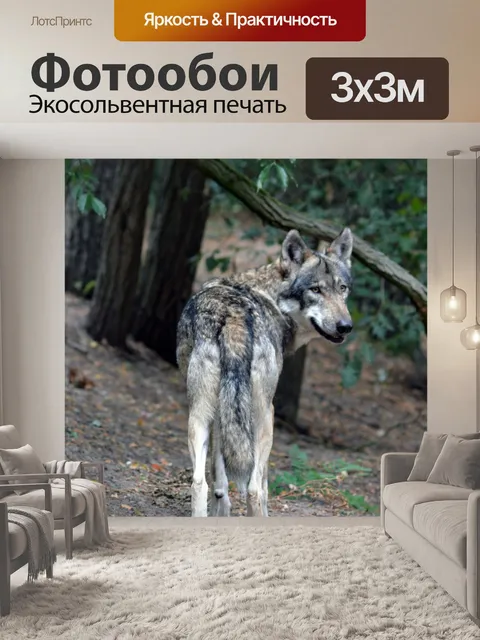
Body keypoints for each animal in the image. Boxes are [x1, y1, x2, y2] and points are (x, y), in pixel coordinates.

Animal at [176, 228, 353, 517]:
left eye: (342, 288)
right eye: (315, 290)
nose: (345, 326)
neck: (271, 296)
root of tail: (233, 316)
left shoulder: (221, 413)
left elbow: (219, 479)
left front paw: (221, 509)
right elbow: (263, 488)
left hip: (199, 413)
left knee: (199, 482)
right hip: (264, 416)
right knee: (254, 489)